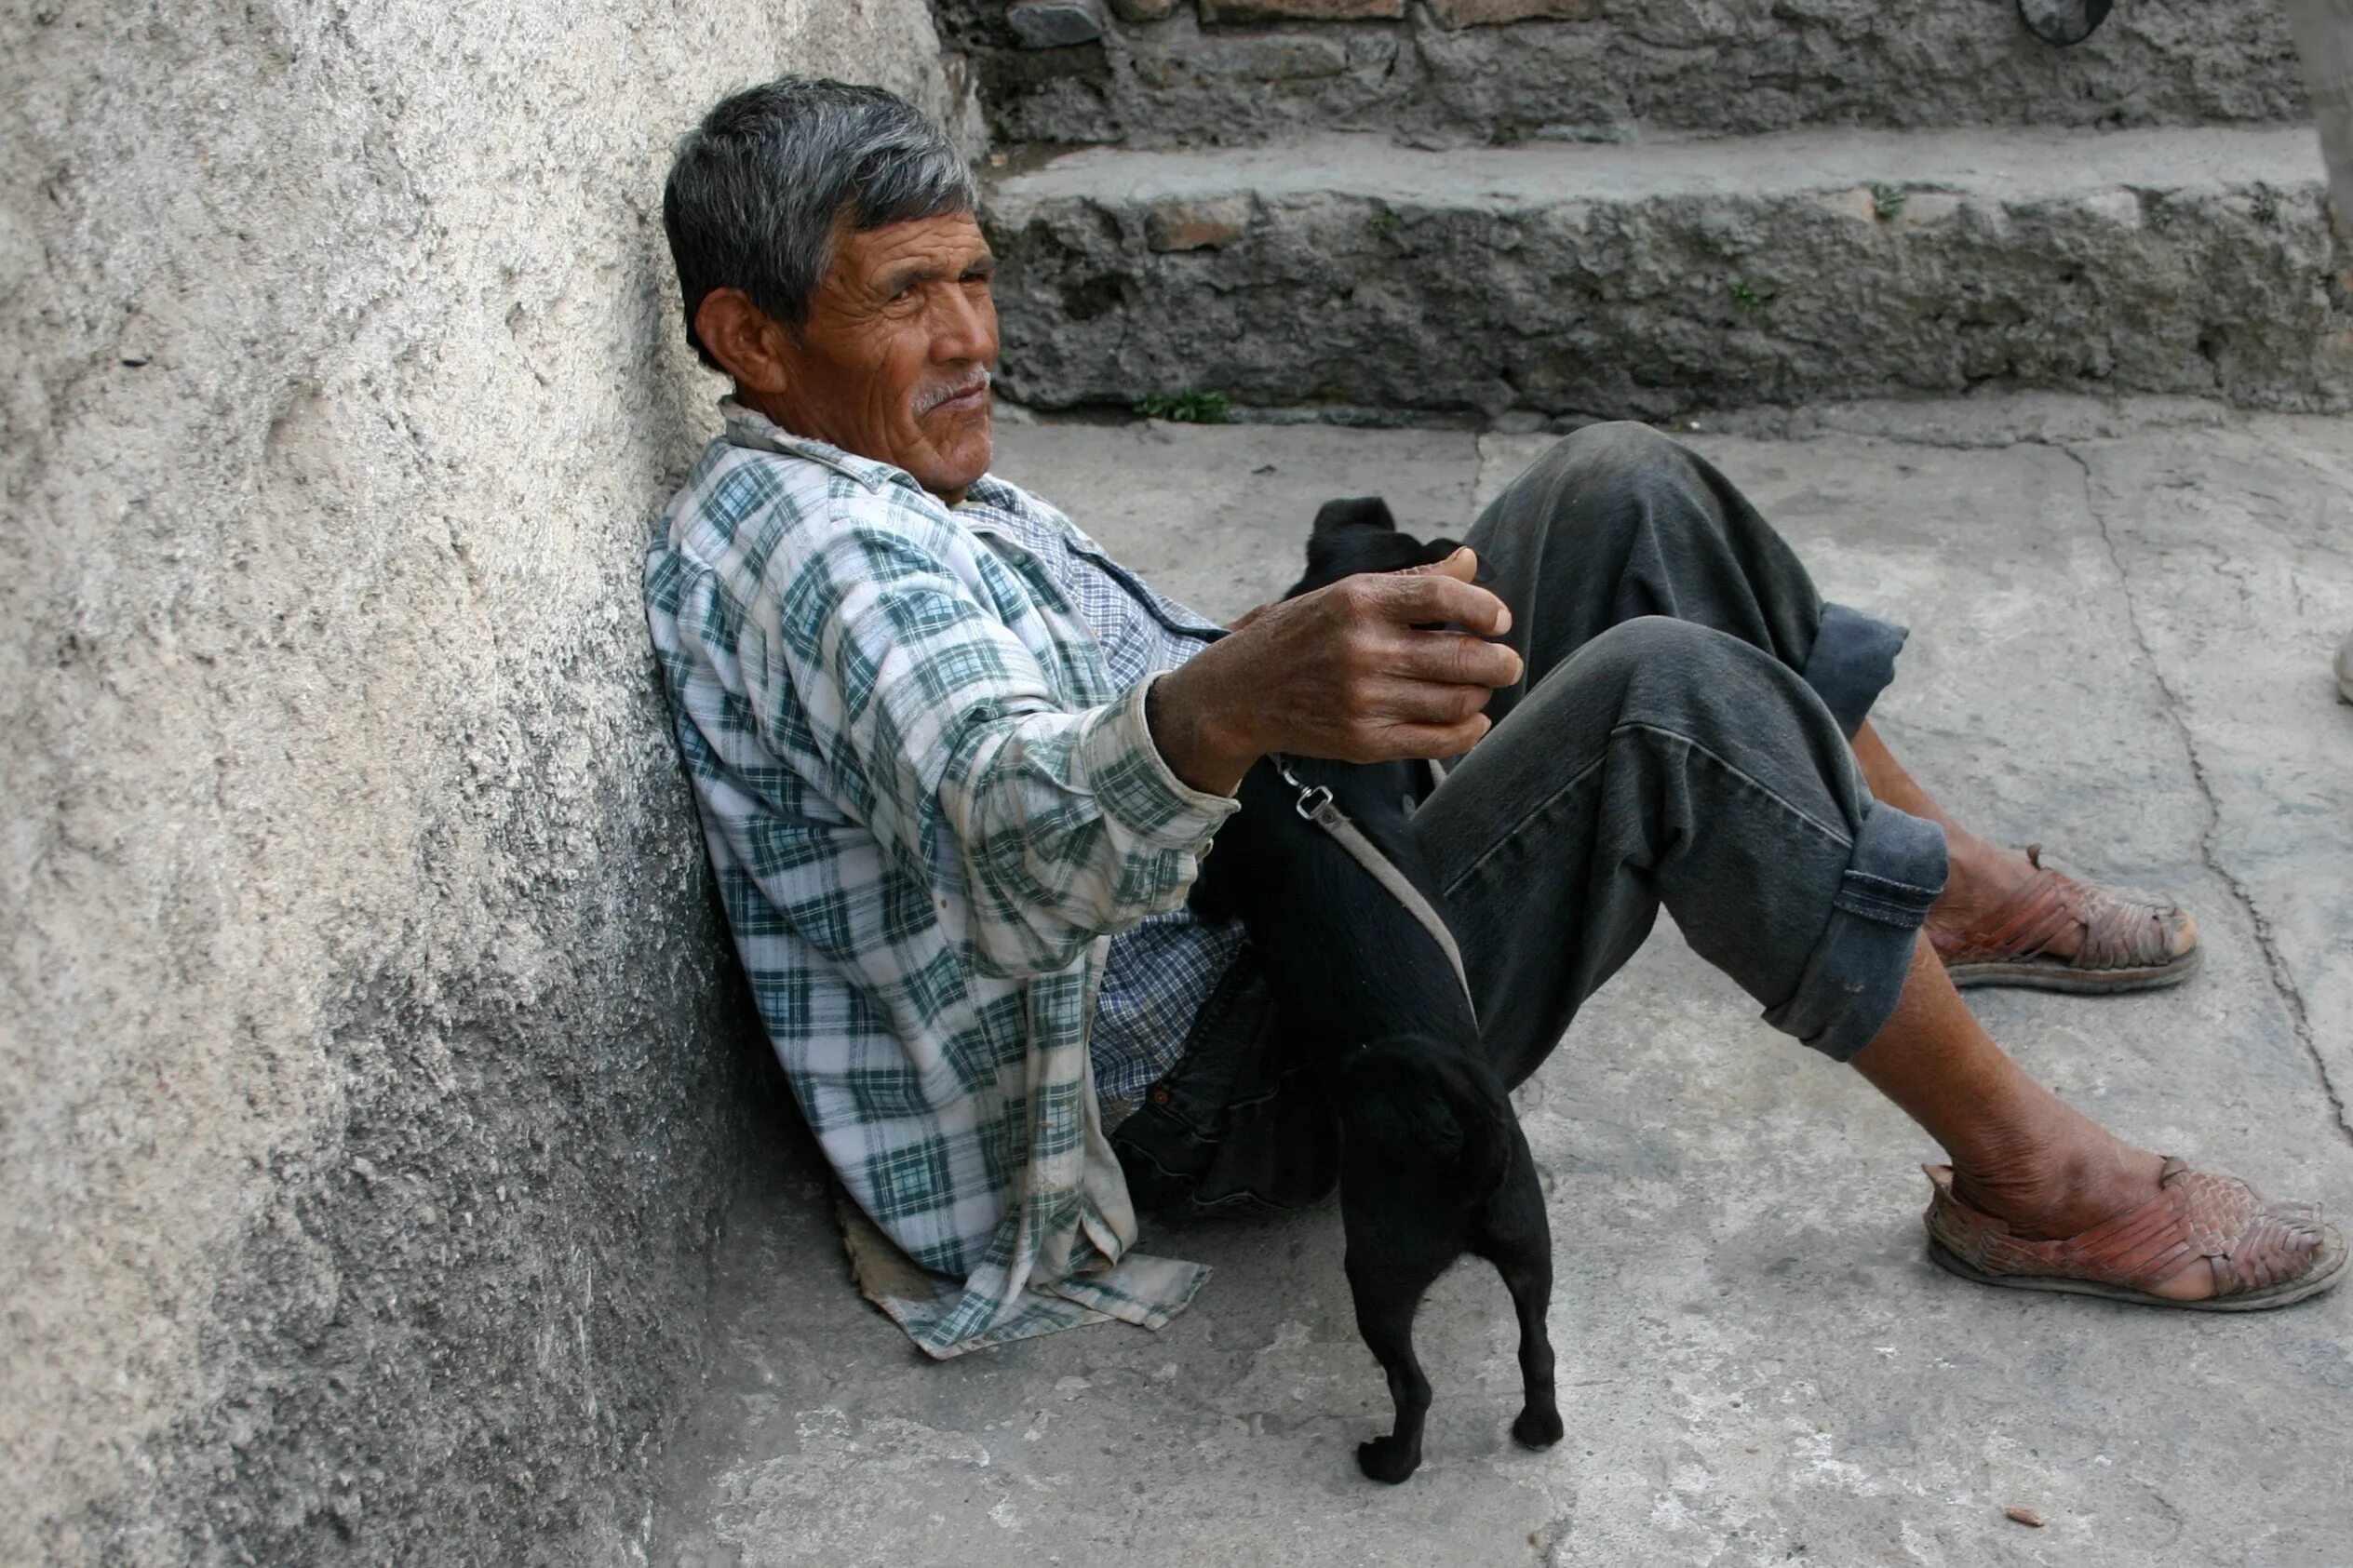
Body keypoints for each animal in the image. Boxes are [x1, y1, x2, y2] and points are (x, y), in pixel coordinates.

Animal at [1195, 496, 1562, 1476]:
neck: (1312, 764)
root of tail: (1470, 1155)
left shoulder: (1227, 866)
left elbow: (1207, 890)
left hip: (1381, 1268)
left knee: (1415, 1384)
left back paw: (1388, 1460)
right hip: (1531, 1248)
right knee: (1539, 1350)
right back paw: (1537, 1429)